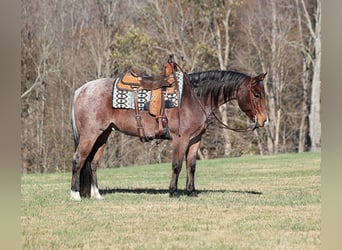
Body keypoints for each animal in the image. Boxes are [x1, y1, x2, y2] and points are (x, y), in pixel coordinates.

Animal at [69, 63, 268, 200]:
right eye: (257, 94)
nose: (264, 120)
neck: (194, 97)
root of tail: (81, 90)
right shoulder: (181, 139)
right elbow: (177, 165)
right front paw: (173, 191)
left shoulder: (195, 139)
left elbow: (191, 165)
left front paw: (191, 192)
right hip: (89, 135)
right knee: (78, 160)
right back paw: (75, 194)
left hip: (103, 135)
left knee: (93, 163)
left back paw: (97, 194)